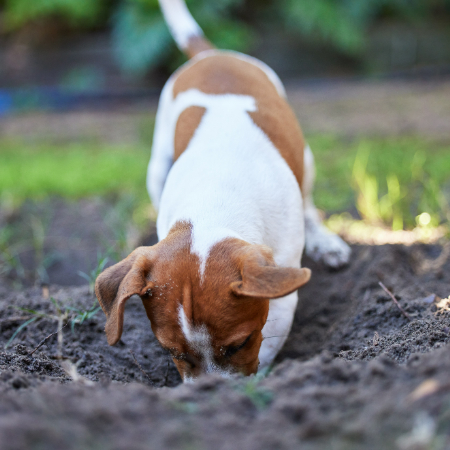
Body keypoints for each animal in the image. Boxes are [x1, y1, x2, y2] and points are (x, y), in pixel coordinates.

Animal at [95, 0, 350, 382]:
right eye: (172, 352)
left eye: (240, 344)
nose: (209, 391)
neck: (214, 201)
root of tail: (212, 54)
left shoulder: (281, 295)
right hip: (157, 167)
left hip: (306, 159)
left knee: (308, 202)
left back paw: (325, 241)